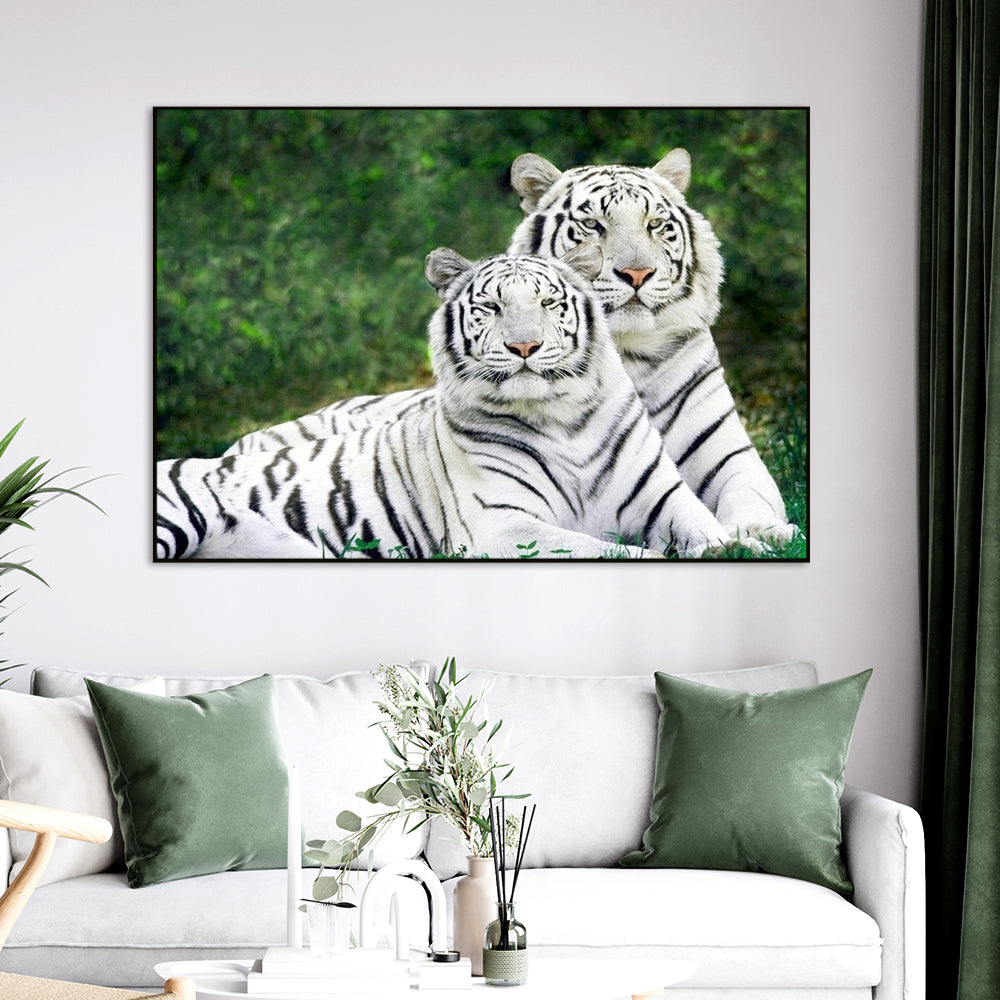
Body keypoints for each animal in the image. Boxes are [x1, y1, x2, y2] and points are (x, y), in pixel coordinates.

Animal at [157, 247, 739, 561]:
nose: (524, 347)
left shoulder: (663, 496)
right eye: (491, 307)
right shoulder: (505, 527)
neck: (562, 418)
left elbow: (706, 530)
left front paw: (739, 545)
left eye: (549, 302)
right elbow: (609, 551)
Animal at [223, 149, 796, 547]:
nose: (636, 274)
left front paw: (766, 534)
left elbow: (751, 499)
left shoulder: (730, 457)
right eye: (593, 225)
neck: (627, 354)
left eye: (656, 225)